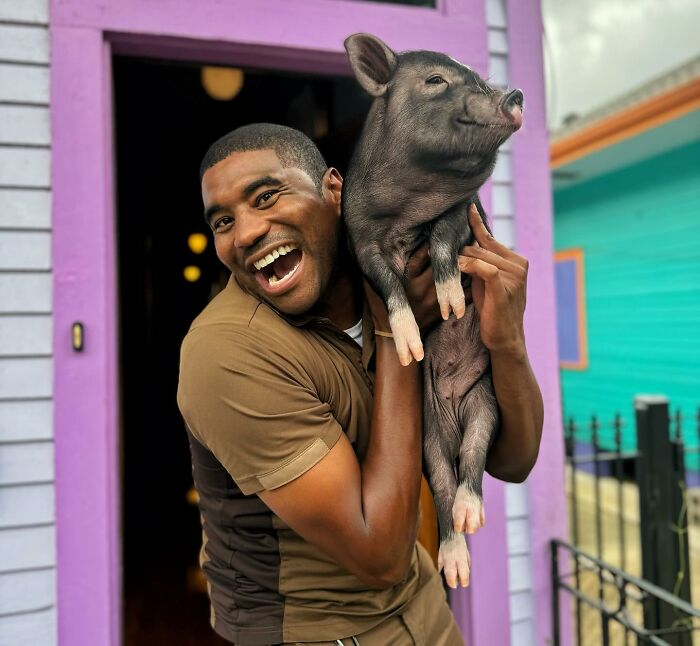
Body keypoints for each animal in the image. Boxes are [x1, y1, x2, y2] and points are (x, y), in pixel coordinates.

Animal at [342, 35, 524, 592]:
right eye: (436, 81)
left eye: (479, 78)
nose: (514, 93)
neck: (407, 213)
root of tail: (453, 412)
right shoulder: (359, 238)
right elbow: (387, 283)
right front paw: (412, 346)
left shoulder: (464, 212)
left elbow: (445, 238)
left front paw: (452, 304)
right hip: (426, 435)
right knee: (441, 482)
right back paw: (456, 565)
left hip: (486, 401)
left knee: (473, 459)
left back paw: (471, 518)